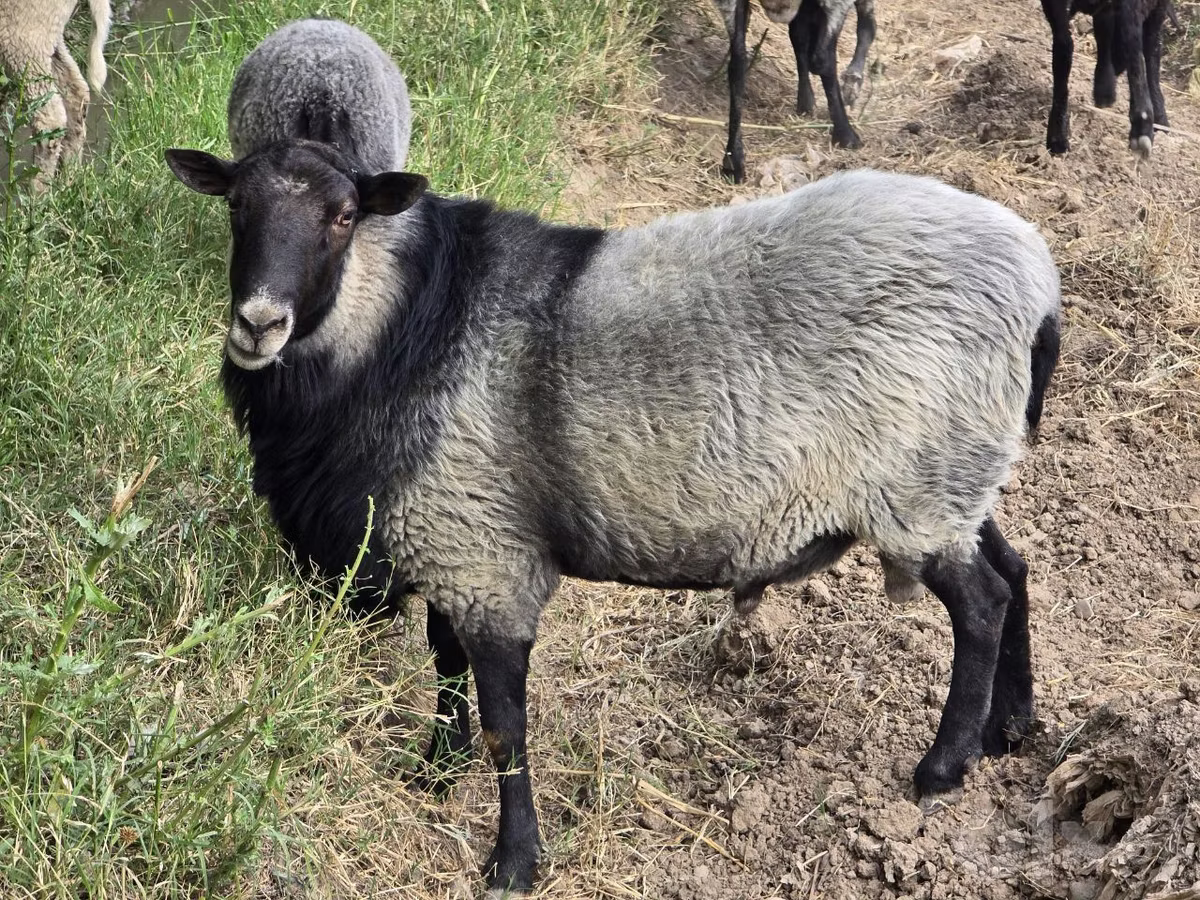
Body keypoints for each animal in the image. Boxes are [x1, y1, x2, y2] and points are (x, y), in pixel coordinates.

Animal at [0, 0, 111, 190]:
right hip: (50, 31)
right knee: (75, 92)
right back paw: (67, 181)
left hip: (22, 33)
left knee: (50, 119)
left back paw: (37, 191)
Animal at [164, 133, 1061, 893]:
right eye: (235, 203)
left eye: (343, 216)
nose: (258, 323)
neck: (402, 328)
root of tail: (1038, 283)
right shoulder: (452, 537)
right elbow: (445, 664)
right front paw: (437, 770)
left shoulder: (482, 555)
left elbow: (506, 724)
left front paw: (514, 863)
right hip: (953, 473)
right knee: (1014, 570)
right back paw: (1011, 727)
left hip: (920, 485)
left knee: (981, 604)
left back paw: (942, 769)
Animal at [1041, 0, 1169, 157]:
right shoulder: (1055, 7)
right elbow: (1063, 49)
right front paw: (1057, 136)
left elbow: (1132, 42)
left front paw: (1142, 129)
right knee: (1104, 31)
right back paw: (1105, 90)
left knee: (1152, 47)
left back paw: (1160, 118)